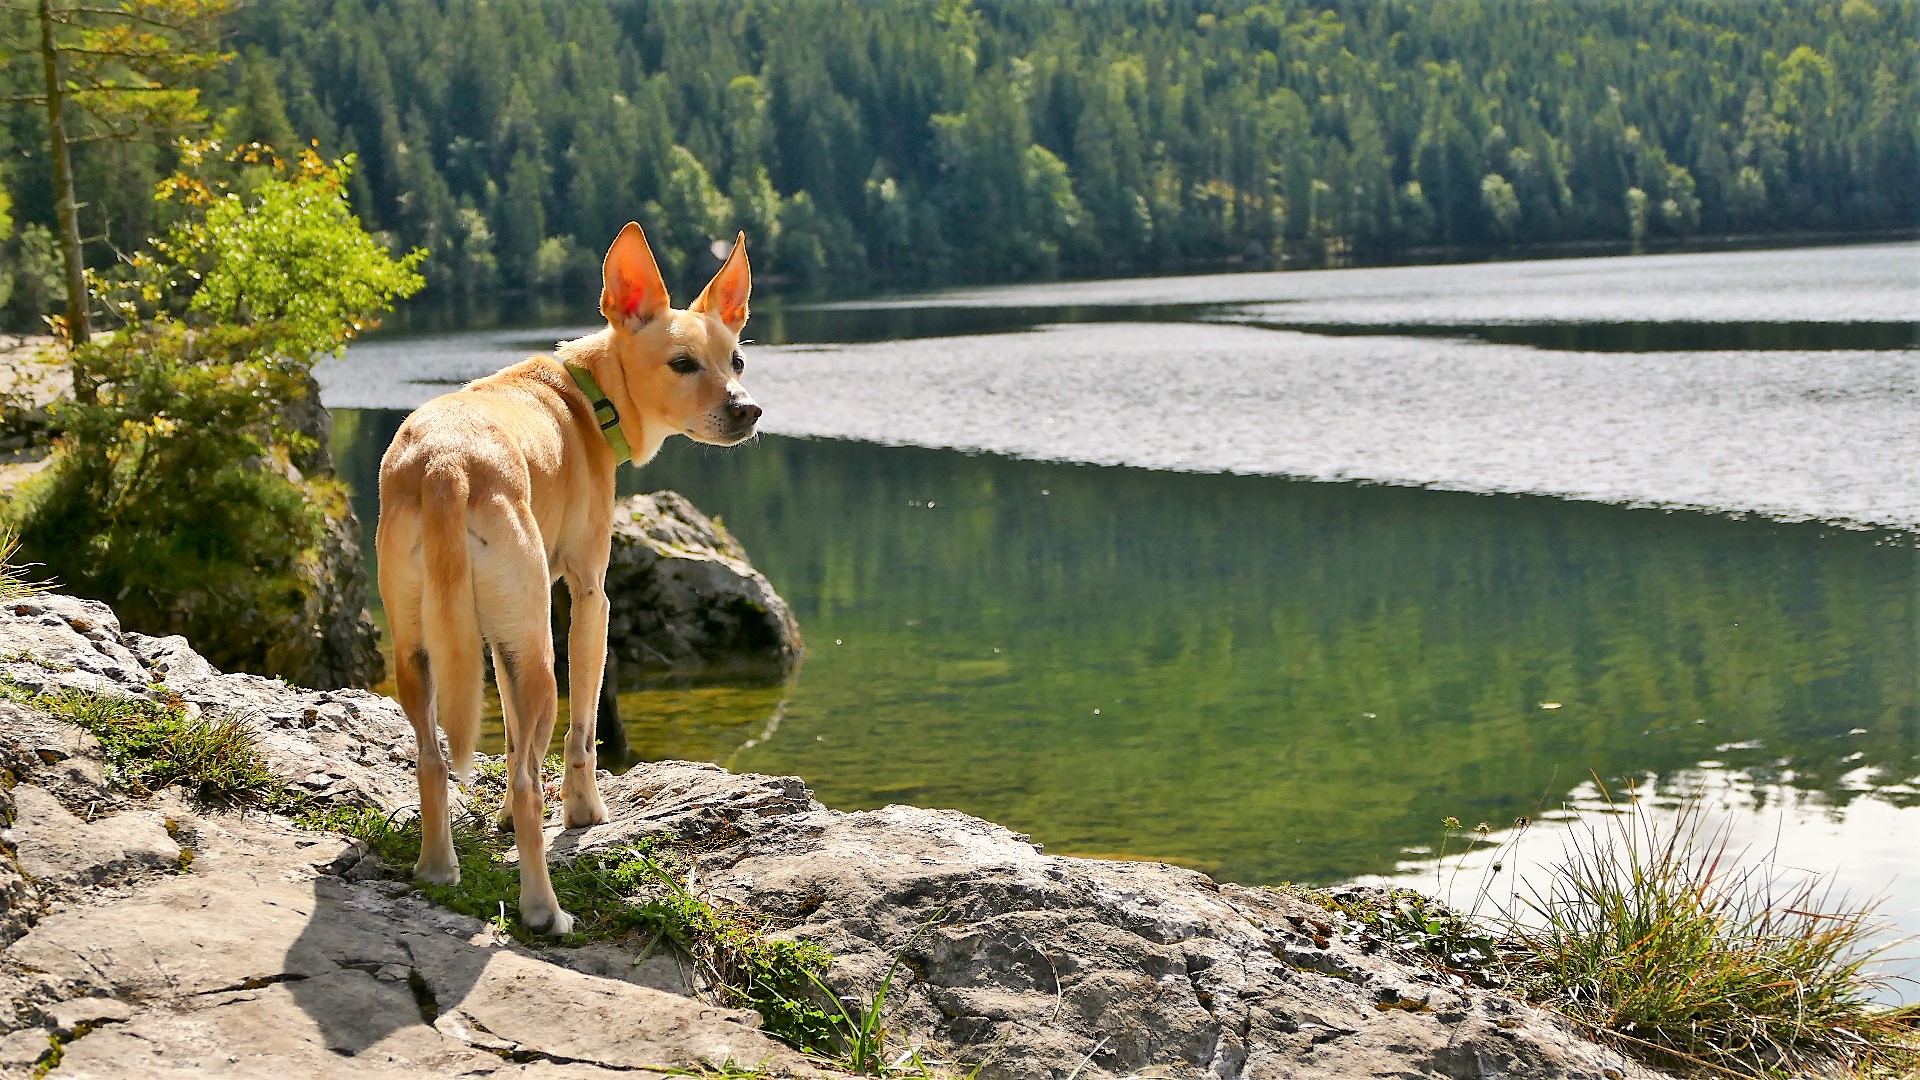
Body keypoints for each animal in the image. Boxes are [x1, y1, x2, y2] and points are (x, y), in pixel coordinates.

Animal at [374, 222, 756, 930]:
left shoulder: (502, 635)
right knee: (531, 778)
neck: (586, 394)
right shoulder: (585, 597)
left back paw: (437, 867)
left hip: (422, 644)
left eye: (737, 361)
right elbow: (581, 733)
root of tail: (445, 465)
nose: (750, 410)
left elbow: (512, 736)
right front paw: (583, 813)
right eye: (683, 364)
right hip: (540, 657)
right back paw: (543, 908)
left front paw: (497, 817)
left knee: (433, 758)